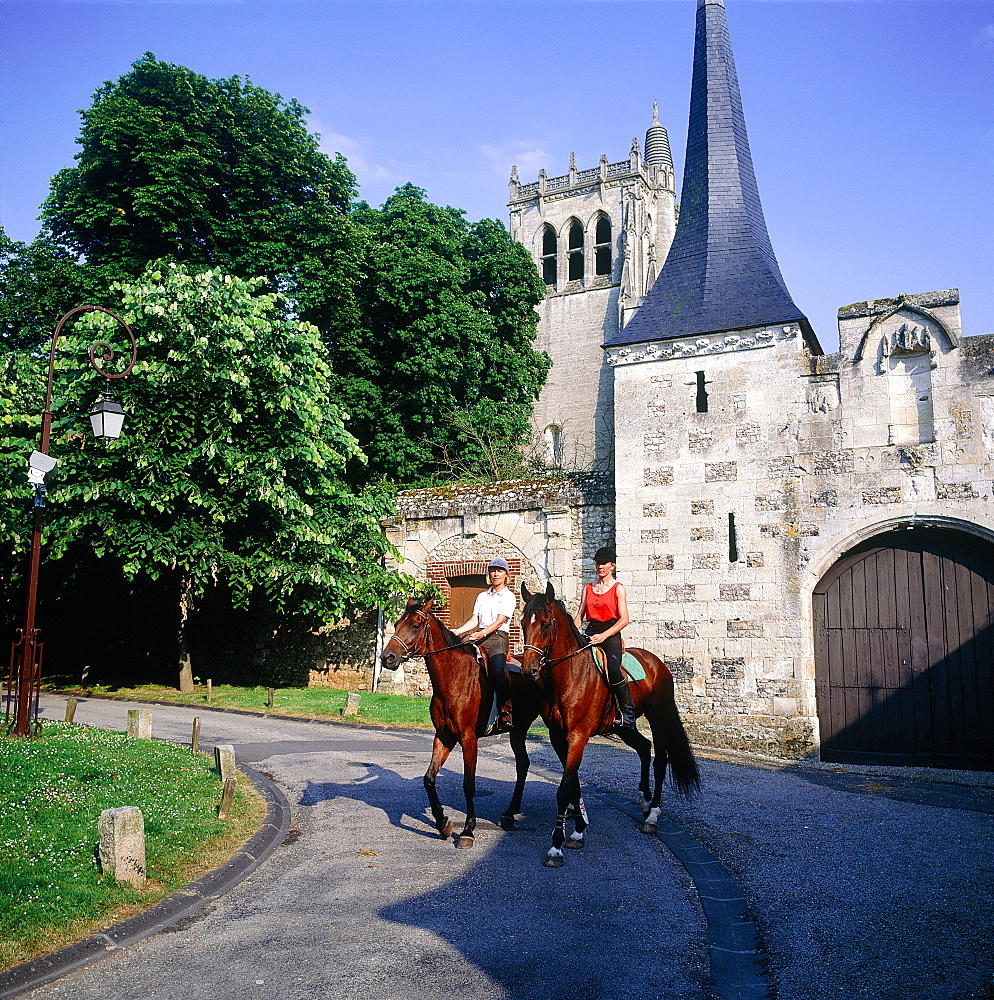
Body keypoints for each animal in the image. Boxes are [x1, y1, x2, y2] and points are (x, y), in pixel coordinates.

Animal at [378, 596, 540, 848]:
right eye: (395, 624)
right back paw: (509, 813)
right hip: (518, 730)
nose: (388, 658)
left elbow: (469, 785)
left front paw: (467, 831)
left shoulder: (468, 739)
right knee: (523, 764)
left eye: (415, 626)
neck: (455, 678)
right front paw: (443, 823)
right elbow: (429, 779)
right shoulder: (444, 736)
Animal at [520, 584, 696, 864]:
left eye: (546, 624)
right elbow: (574, 785)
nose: (529, 669)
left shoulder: (577, 736)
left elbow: (564, 789)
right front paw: (578, 831)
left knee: (659, 760)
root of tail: (657, 662)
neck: (570, 674)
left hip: (659, 718)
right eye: (523, 622)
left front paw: (556, 846)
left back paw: (653, 815)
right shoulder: (559, 737)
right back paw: (644, 802)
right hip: (624, 726)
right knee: (644, 748)